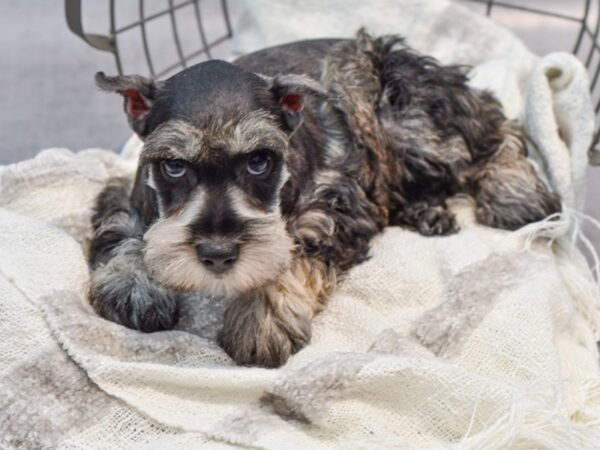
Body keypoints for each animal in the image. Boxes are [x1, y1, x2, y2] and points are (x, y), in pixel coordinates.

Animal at [90, 32, 564, 370]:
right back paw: (428, 211)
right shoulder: (127, 192)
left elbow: (292, 251)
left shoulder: (332, 208)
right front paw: (132, 283)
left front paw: (263, 317)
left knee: (494, 131)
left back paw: (514, 193)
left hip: (407, 118)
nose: (218, 254)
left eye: (259, 161)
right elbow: (122, 229)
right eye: (173, 165)